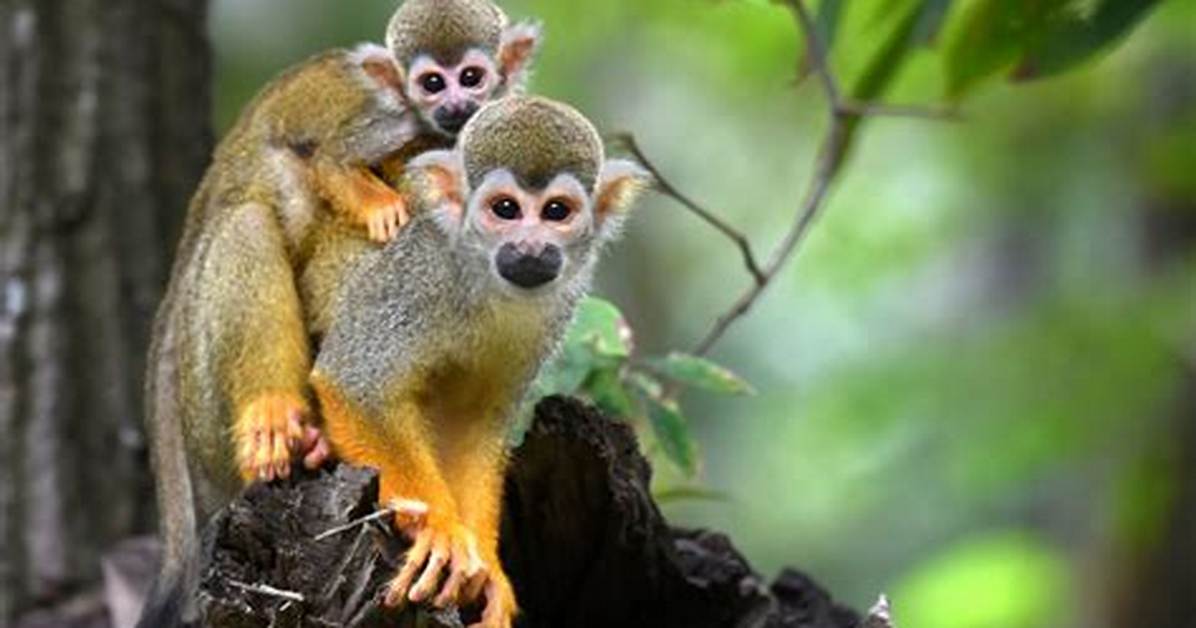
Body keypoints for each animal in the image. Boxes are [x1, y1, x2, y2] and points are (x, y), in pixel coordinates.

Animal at [139, 1, 540, 625]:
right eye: (433, 83)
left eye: (473, 77)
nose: (455, 106)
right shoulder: (400, 131)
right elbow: (340, 165)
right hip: (202, 403)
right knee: (253, 215)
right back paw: (271, 413)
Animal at [309, 95, 650, 628]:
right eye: (505, 209)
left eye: (556, 211)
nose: (531, 248)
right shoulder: (418, 273)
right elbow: (354, 382)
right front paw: (441, 532)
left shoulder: (554, 312)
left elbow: (472, 422)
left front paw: (486, 569)